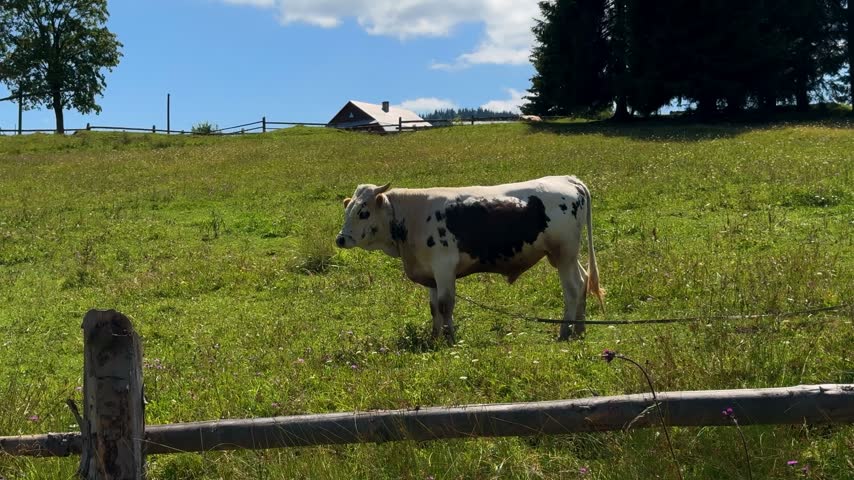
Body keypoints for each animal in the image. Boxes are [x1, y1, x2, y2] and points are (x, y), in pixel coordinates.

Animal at [335, 176, 604, 343]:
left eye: (363, 212)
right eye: (347, 210)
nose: (340, 239)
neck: (412, 216)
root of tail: (567, 179)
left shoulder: (444, 267)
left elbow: (445, 304)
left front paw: (450, 338)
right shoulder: (430, 272)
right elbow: (434, 307)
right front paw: (435, 337)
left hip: (564, 252)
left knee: (573, 288)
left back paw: (565, 331)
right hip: (565, 256)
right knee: (583, 282)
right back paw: (580, 330)